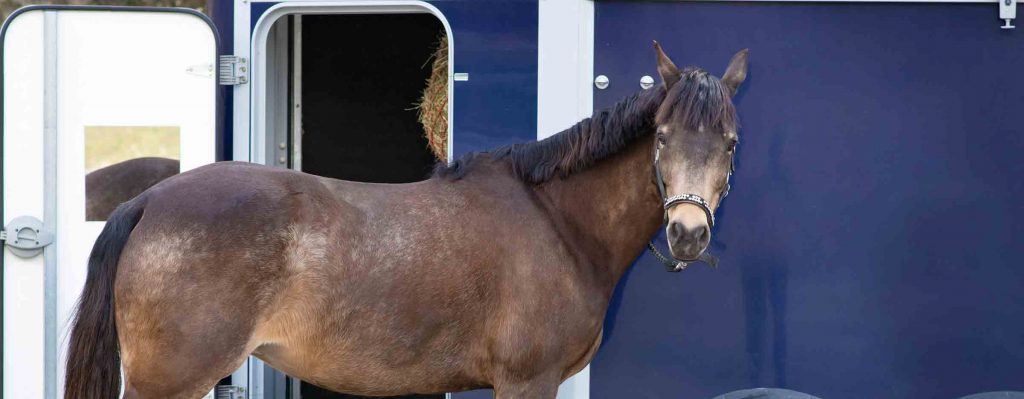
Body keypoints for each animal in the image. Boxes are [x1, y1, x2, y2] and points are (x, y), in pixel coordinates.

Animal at [66, 42, 753, 396]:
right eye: (662, 138)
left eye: (730, 143)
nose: (687, 235)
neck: (557, 224)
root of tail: (150, 201)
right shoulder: (527, 382)